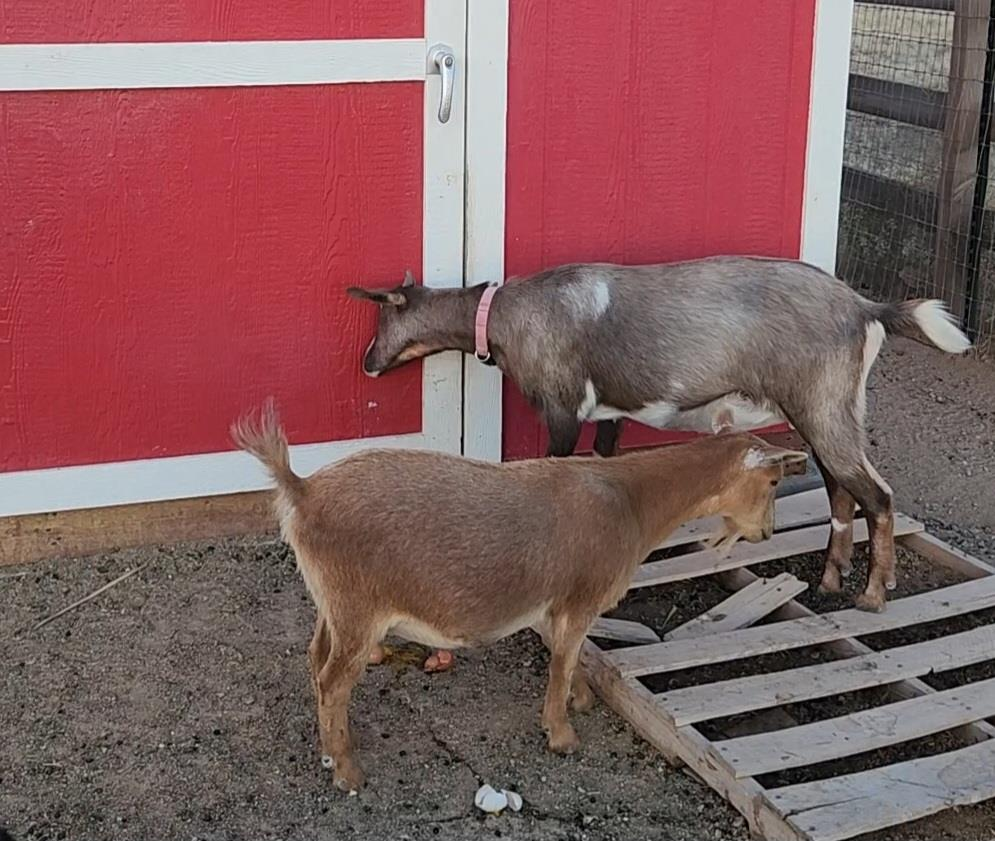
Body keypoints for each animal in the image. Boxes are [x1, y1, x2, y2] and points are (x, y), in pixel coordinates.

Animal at [232, 402, 807, 792]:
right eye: (773, 480)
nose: (767, 533)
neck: (632, 503)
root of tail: (302, 491)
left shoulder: (560, 603)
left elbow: (571, 654)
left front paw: (580, 699)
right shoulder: (581, 595)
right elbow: (565, 656)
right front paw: (562, 733)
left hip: (334, 601)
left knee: (316, 658)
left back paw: (332, 750)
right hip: (358, 605)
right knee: (334, 679)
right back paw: (347, 770)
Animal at [347, 256, 972, 613]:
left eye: (382, 316)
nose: (367, 365)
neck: (505, 316)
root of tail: (868, 308)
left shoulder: (563, 410)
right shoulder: (609, 415)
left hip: (823, 408)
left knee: (877, 496)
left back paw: (873, 595)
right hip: (824, 413)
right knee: (841, 490)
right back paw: (830, 582)